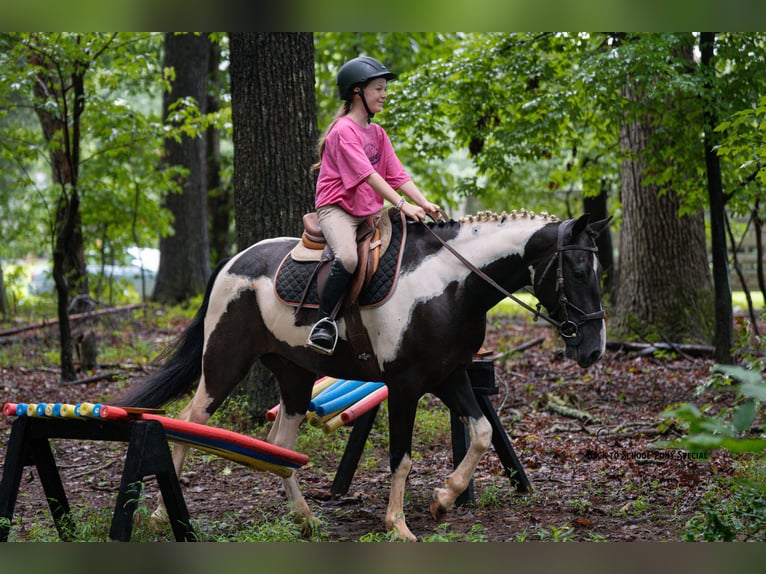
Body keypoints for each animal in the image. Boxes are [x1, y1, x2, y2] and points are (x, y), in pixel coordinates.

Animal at [115, 207, 609, 541]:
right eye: (577, 269)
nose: (593, 349)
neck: (451, 286)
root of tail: (233, 262)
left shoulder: (451, 376)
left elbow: (483, 432)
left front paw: (443, 499)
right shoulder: (406, 386)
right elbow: (401, 456)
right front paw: (398, 525)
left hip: (294, 375)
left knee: (281, 445)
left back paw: (306, 519)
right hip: (224, 363)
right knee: (191, 419)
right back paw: (160, 518)